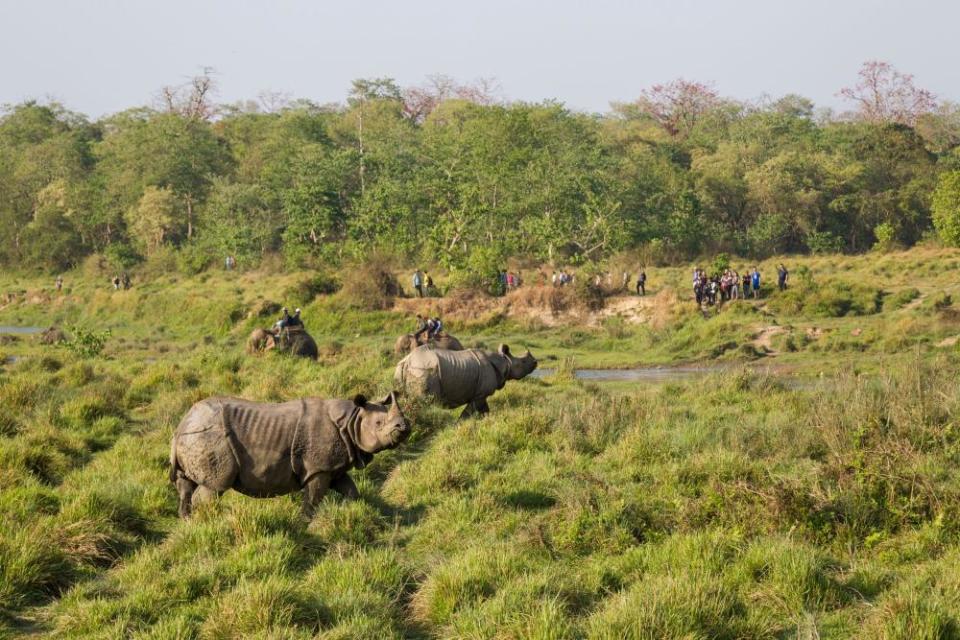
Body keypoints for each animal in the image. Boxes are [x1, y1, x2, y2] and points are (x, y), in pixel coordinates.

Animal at [170, 390, 408, 520]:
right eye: (379, 424)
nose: (405, 427)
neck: (351, 420)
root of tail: (181, 425)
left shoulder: (334, 467)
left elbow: (351, 490)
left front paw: (354, 509)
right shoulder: (319, 468)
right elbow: (313, 498)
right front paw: (305, 523)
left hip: (193, 437)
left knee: (186, 485)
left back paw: (188, 521)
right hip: (210, 437)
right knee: (215, 486)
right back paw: (207, 520)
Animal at [394, 344, 536, 420]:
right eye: (523, 362)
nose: (535, 362)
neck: (505, 361)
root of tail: (407, 361)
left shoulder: (480, 394)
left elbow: (485, 409)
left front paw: (486, 420)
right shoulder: (479, 394)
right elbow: (469, 412)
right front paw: (459, 424)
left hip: (401, 370)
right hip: (423, 371)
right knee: (426, 404)